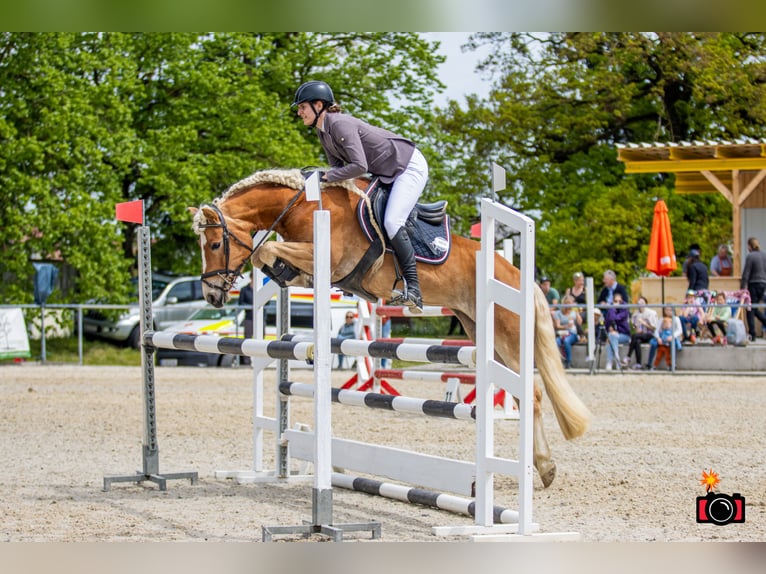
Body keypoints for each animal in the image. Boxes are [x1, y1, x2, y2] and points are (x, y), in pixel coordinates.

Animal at [189, 169, 592, 488]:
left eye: (215, 243)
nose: (212, 295)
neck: (302, 206)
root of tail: (519, 277)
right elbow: (269, 256)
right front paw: (279, 275)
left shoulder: (326, 257)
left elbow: (263, 252)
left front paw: (273, 266)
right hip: (480, 331)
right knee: (523, 395)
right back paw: (541, 467)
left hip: (509, 335)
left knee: (533, 395)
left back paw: (545, 468)